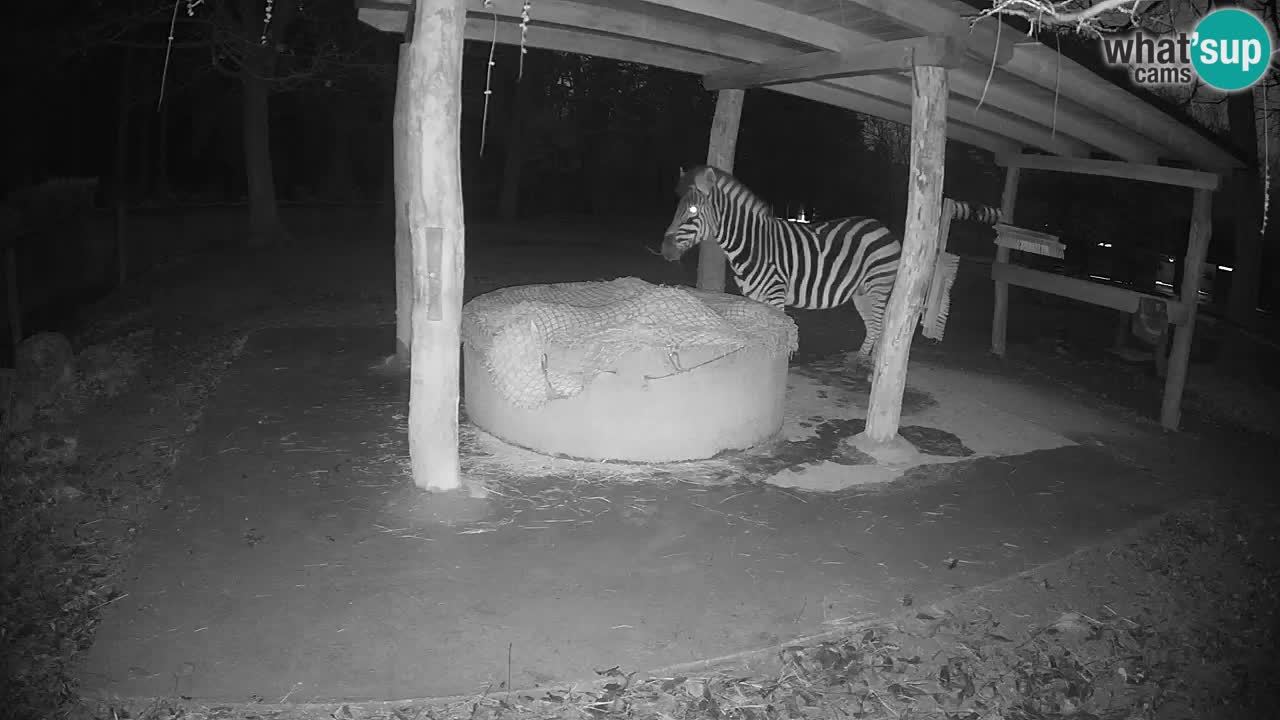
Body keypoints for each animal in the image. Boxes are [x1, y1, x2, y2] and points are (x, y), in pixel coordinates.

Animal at [660, 165, 902, 371]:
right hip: (861, 291)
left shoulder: (776, 293)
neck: (752, 244)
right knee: (875, 326)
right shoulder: (754, 295)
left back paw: (870, 368)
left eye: (692, 210)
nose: (664, 250)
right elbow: (763, 331)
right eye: (678, 209)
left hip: (878, 285)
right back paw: (866, 362)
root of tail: (882, 227)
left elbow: (779, 329)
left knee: (878, 325)